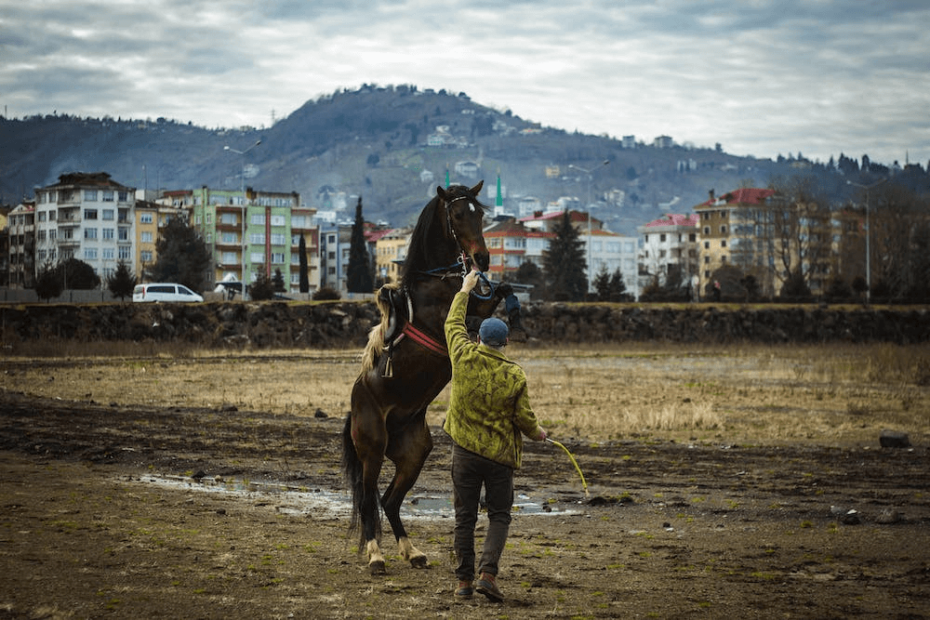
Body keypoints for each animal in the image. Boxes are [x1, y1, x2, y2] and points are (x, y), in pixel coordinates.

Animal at [342, 182, 520, 572]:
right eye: (458, 214)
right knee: (368, 498)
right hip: (372, 449)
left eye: (480, 214)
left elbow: (502, 290)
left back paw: (412, 552)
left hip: (414, 453)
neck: (435, 282)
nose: (483, 258)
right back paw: (376, 555)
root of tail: (354, 408)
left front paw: (511, 302)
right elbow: (475, 310)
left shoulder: (479, 306)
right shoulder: (452, 323)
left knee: (390, 500)